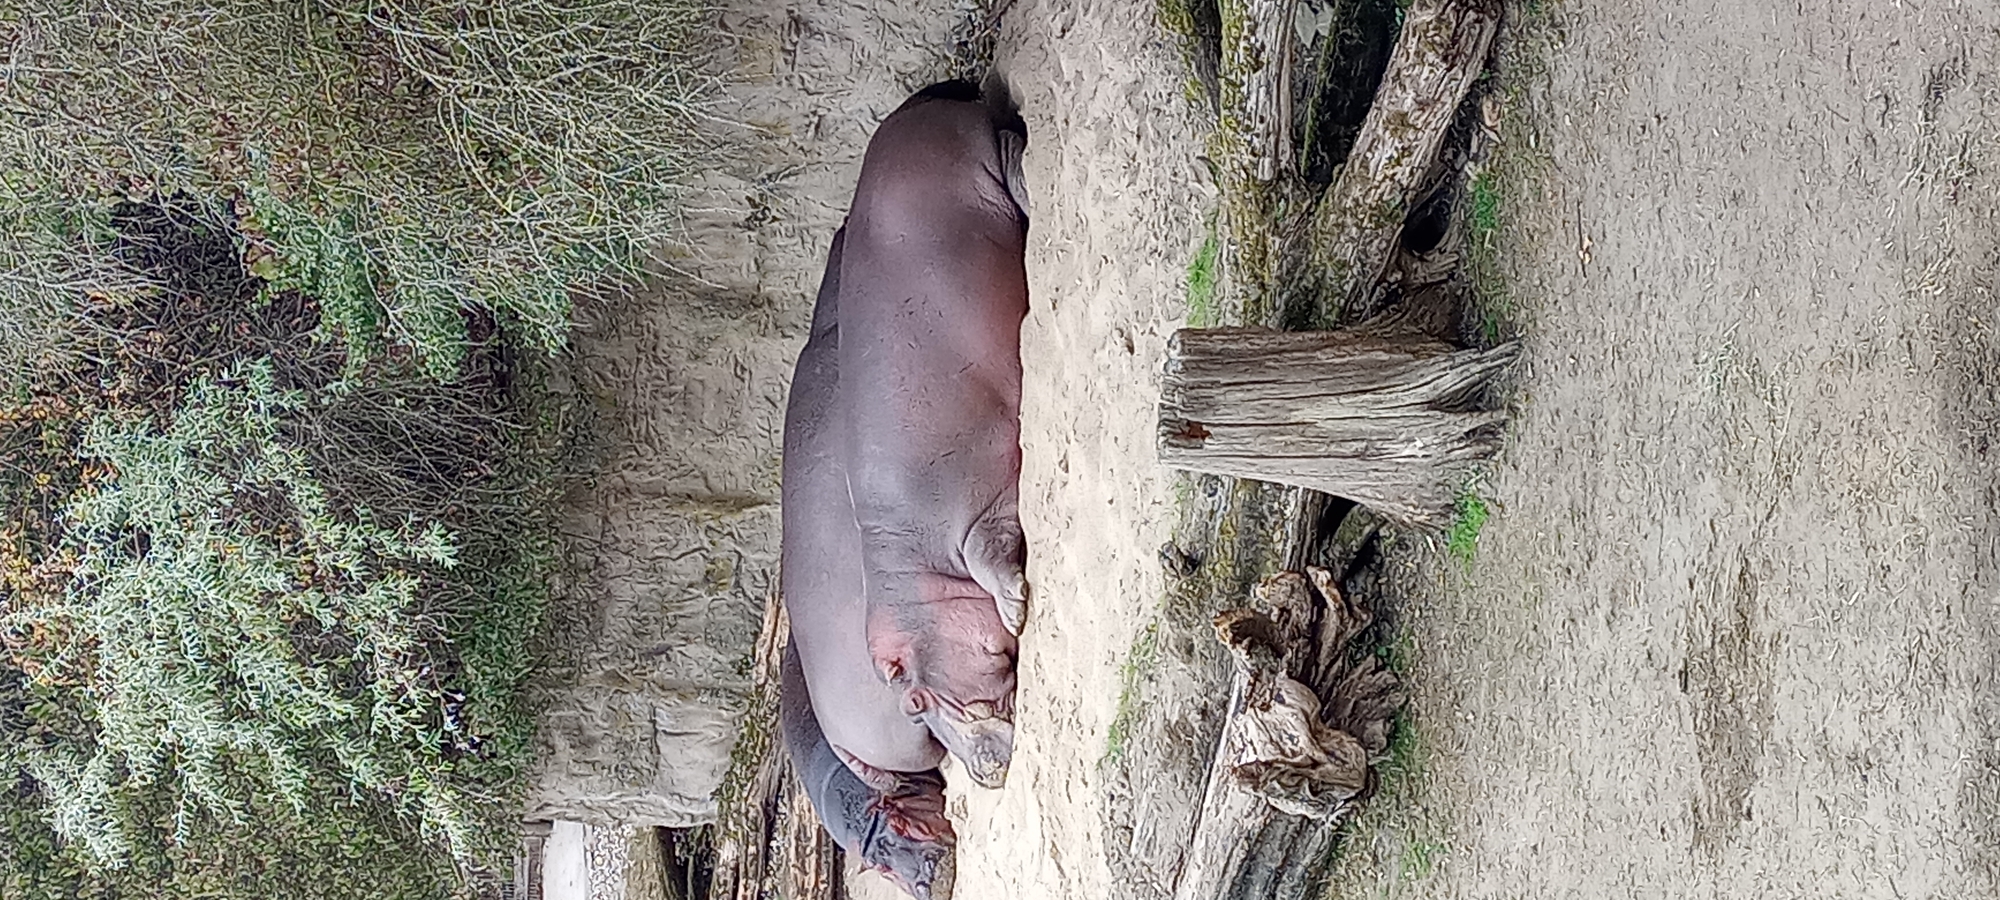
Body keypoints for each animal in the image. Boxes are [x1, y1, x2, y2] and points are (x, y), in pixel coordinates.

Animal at [836, 79, 1029, 784]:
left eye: (915, 700)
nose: (982, 772)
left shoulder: (976, 512)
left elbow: (992, 557)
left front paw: (1017, 610)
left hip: (978, 166)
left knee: (1015, 156)